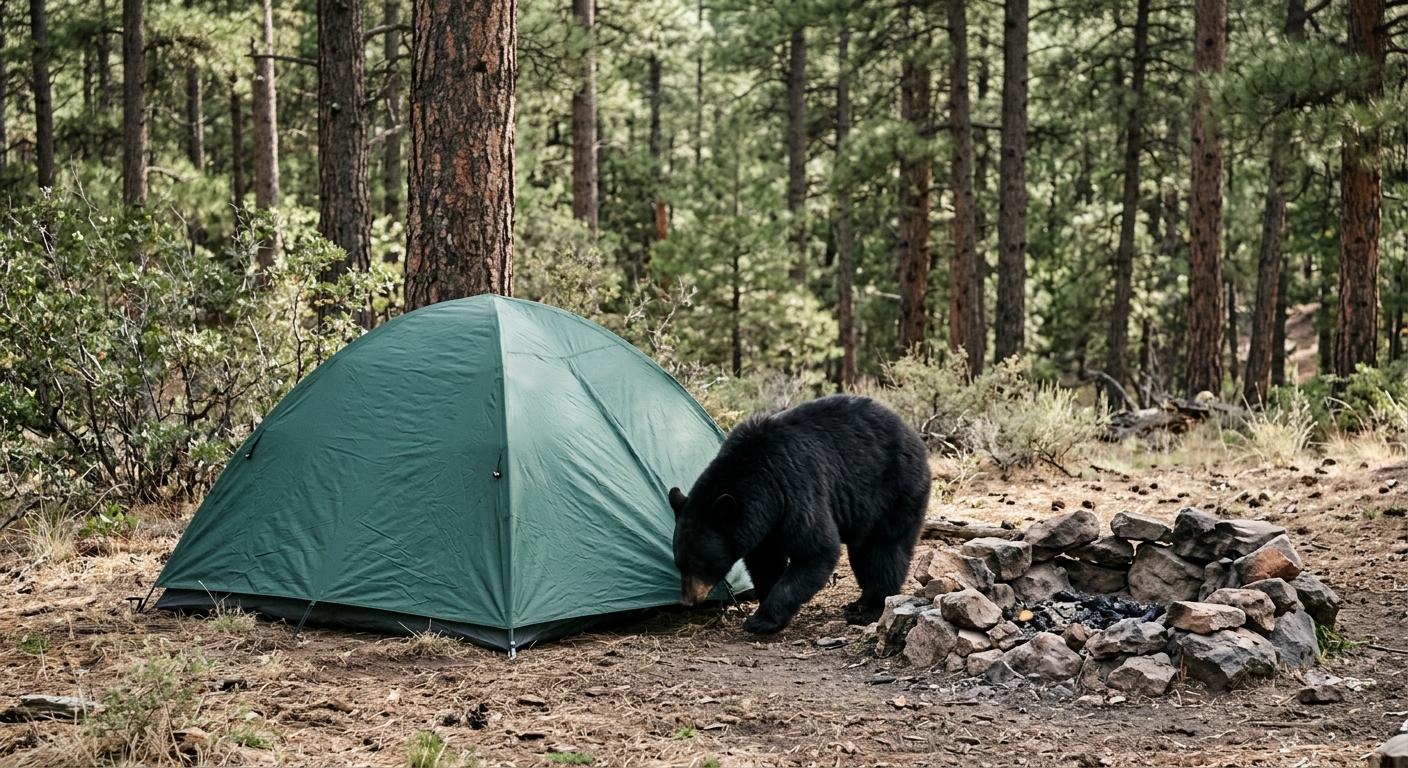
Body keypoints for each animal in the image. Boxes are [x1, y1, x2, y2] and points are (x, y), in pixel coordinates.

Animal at [669, 394, 931, 634]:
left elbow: (815, 550)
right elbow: (765, 560)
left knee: (885, 549)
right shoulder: (763, 521)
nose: (687, 601)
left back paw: (870, 609)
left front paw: (762, 620)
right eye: (679, 563)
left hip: (897, 488)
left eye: (701, 563)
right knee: (861, 552)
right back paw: (858, 603)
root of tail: (911, 432)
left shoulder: (794, 487)